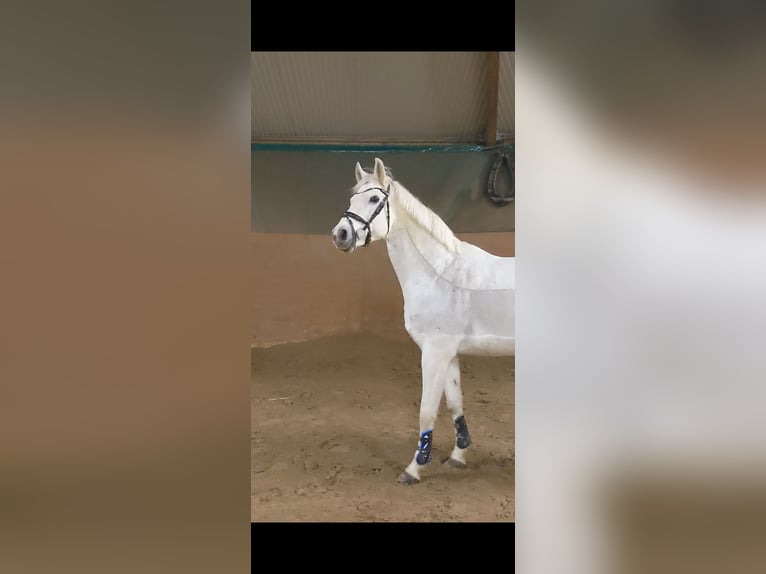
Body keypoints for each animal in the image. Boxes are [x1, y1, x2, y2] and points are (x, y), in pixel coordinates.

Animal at [332, 158, 516, 486]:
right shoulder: (450, 353)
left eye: (375, 199)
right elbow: (455, 403)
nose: (340, 234)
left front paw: (414, 469)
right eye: (352, 199)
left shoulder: (434, 353)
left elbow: (426, 411)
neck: (440, 274)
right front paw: (457, 456)